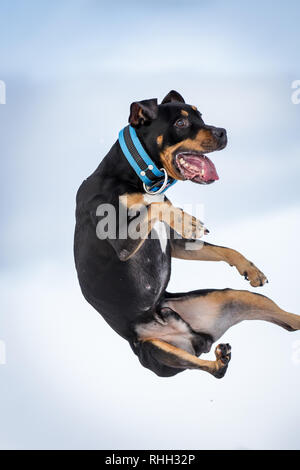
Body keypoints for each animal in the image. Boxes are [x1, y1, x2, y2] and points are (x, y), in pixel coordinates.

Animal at [73, 90, 300, 378]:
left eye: (200, 115)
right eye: (180, 123)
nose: (223, 132)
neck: (137, 177)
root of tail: (197, 339)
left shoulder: (175, 244)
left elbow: (220, 248)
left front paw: (250, 269)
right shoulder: (122, 243)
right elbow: (157, 206)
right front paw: (186, 219)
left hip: (235, 298)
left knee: (290, 322)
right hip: (156, 351)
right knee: (214, 371)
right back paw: (220, 359)